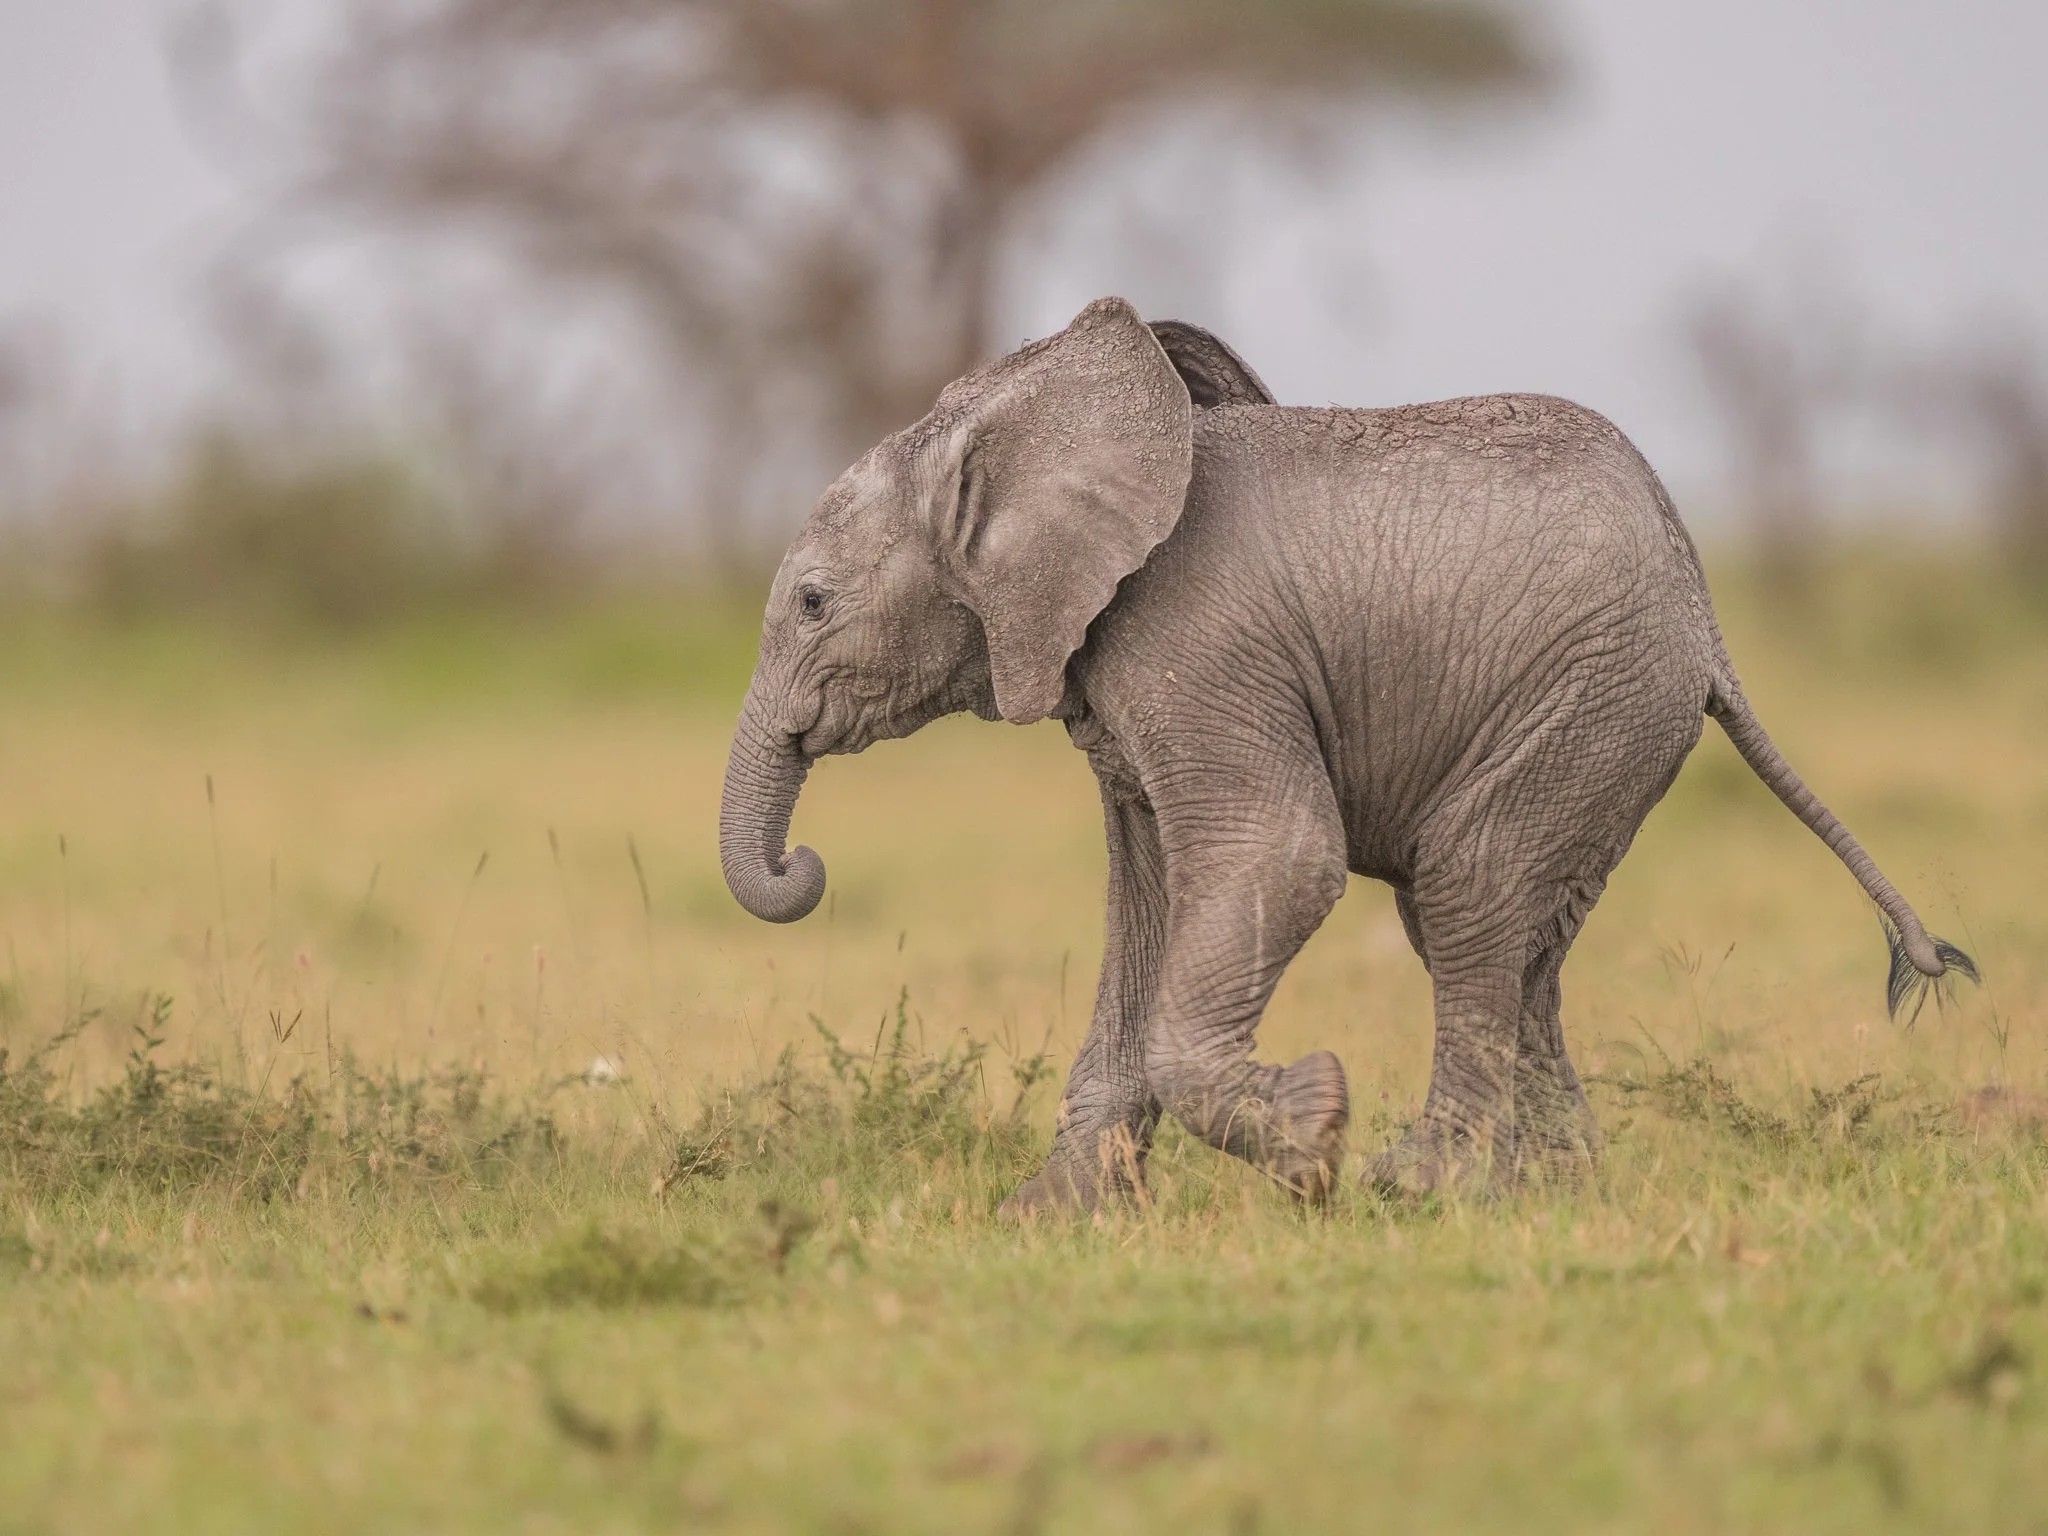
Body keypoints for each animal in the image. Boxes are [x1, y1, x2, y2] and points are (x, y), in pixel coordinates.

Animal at [718, 295, 1977, 1209]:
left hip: (1591, 696)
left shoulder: (1200, 649)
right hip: (1604, 718)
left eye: (814, 604)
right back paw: (1554, 1194)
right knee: (1507, 933)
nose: (804, 865)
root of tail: (1705, 620)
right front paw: (1050, 1217)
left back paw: (1421, 1188)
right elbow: (1146, 910)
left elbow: (1279, 862)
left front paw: (1315, 1128)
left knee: (1468, 888)